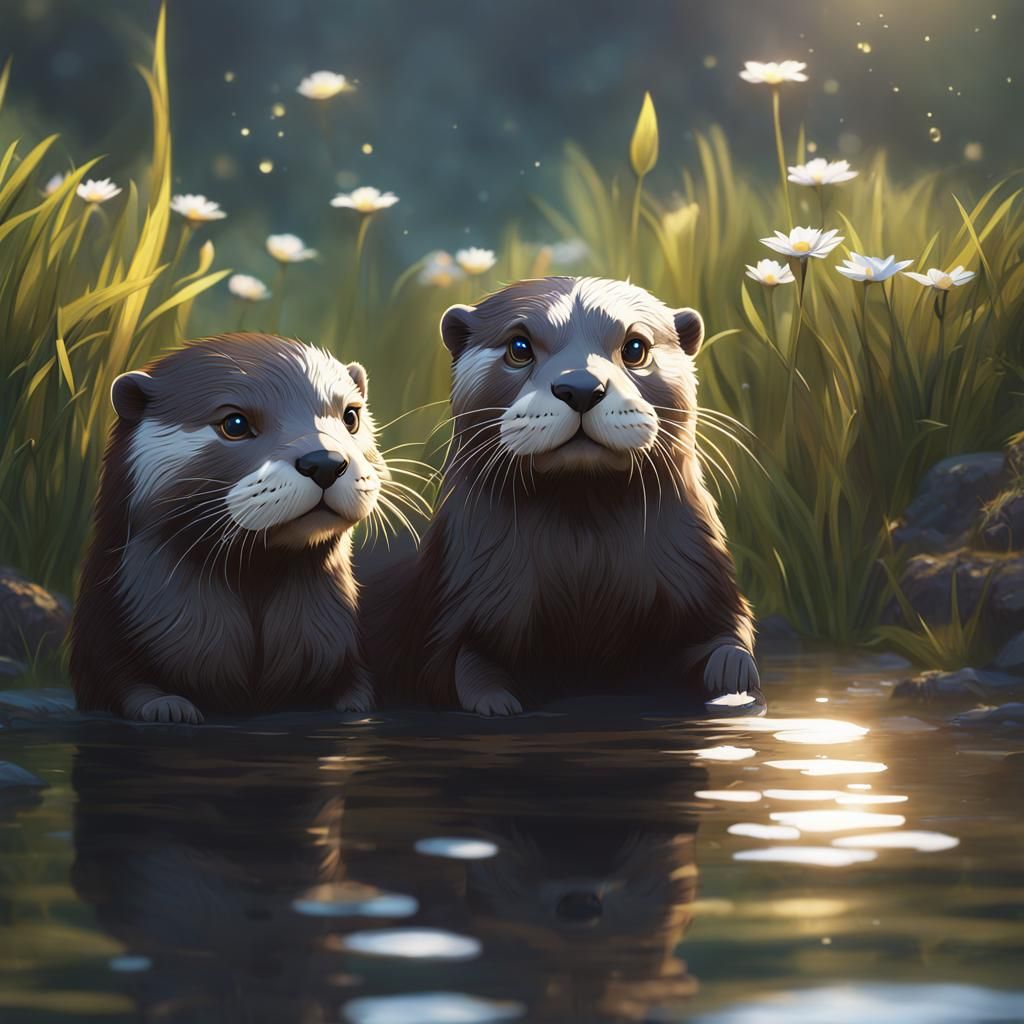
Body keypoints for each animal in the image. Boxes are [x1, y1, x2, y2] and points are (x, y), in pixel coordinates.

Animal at [71, 333, 386, 723]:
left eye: (350, 416)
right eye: (235, 424)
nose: (325, 462)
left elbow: (356, 682)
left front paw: (356, 702)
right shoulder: (105, 625)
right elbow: (119, 681)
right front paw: (167, 706)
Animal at [369, 276, 759, 714]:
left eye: (635, 347)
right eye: (519, 347)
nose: (581, 387)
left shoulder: (703, 576)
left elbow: (729, 633)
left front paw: (733, 676)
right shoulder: (461, 595)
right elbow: (458, 661)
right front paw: (495, 700)